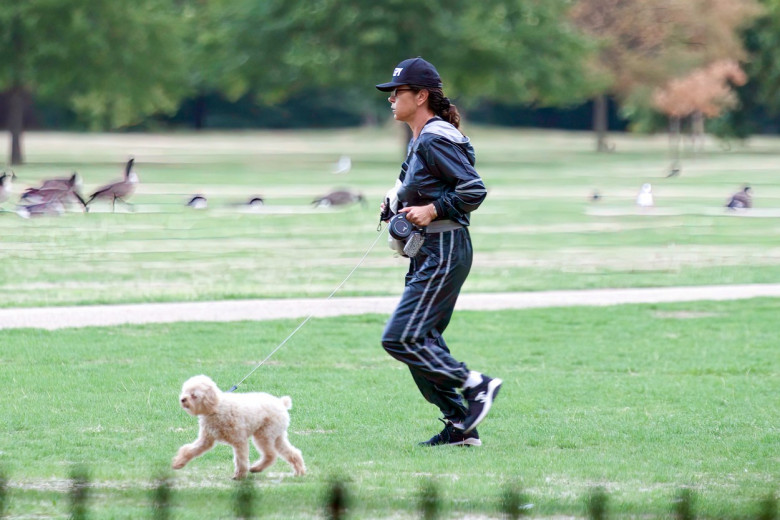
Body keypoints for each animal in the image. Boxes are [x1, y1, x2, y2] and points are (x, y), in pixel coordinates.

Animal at [172, 374, 306, 480]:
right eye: (185, 391)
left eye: (194, 395)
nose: (182, 399)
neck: (217, 407)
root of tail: (282, 403)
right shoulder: (206, 440)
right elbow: (190, 450)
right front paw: (178, 463)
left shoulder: (239, 440)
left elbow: (241, 459)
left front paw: (239, 475)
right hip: (277, 436)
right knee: (292, 452)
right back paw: (299, 471)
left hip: (264, 435)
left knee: (271, 455)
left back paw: (256, 468)